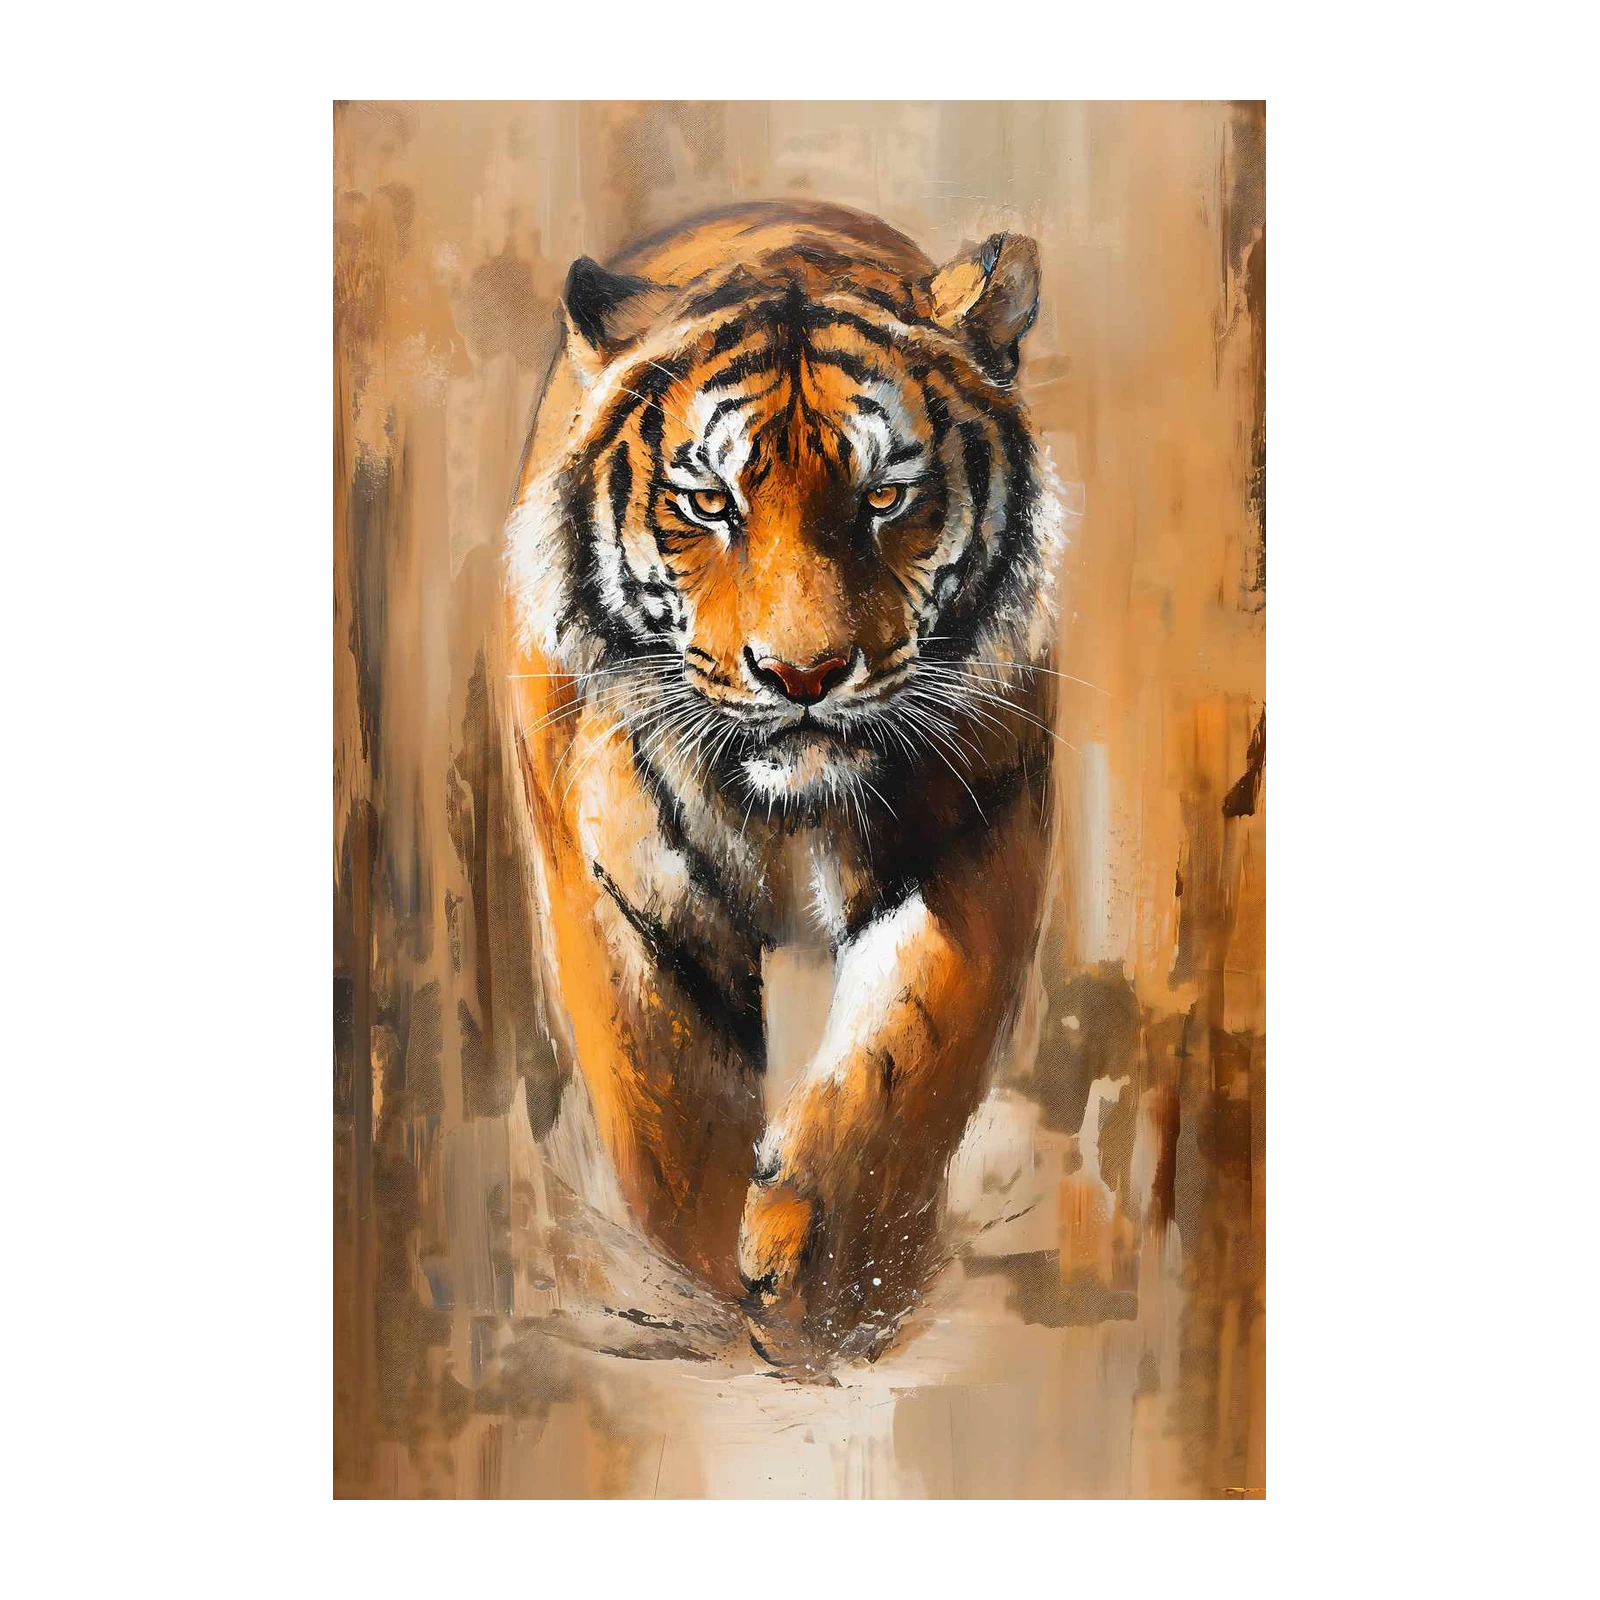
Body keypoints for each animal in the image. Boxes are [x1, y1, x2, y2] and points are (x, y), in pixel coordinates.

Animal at [502, 200, 1066, 1368]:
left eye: (886, 497)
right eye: (708, 502)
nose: (802, 675)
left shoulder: (976, 840)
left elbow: (902, 1062)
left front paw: (828, 1281)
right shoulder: (620, 890)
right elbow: (668, 1113)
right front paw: (719, 1286)